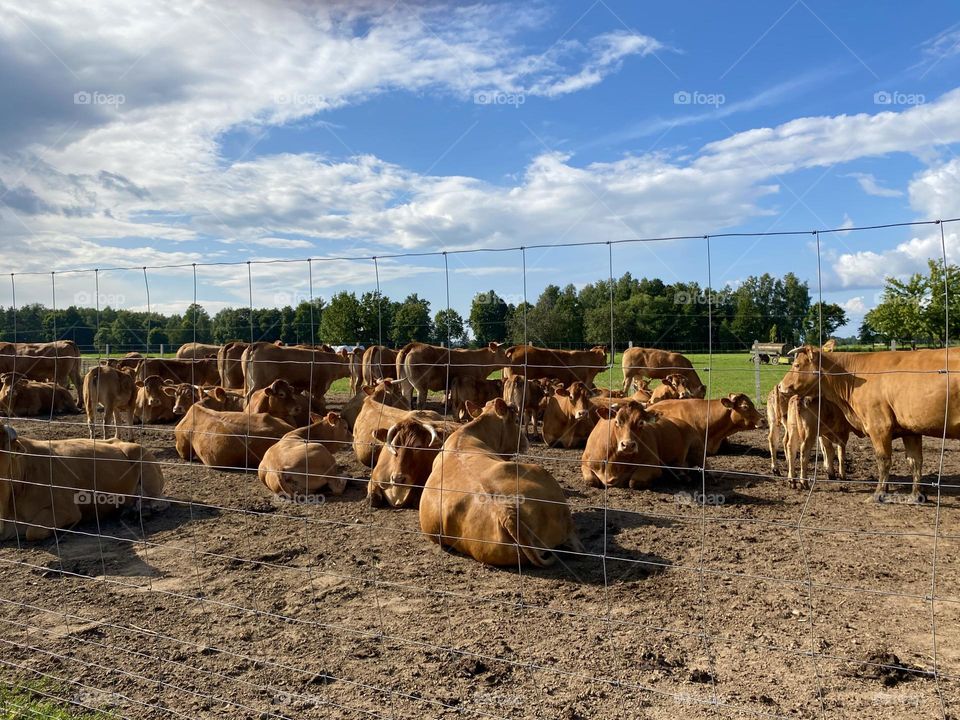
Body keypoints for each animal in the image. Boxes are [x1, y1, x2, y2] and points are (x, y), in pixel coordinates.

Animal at [0, 422, 166, 541]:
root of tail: (117, 441)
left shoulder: (67, 510)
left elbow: (32, 531)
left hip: (141, 459)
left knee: (156, 500)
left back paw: (140, 510)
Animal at [779, 346, 960, 503]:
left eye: (797, 365)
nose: (780, 385)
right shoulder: (910, 429)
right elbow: (915, 461)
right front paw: (916, 496)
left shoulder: (879, 426)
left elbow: (884, 460)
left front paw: (879, 493)